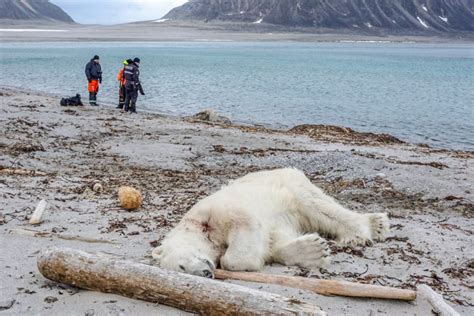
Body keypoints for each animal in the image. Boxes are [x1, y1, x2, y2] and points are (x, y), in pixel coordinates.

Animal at [154, 168, 390, 276]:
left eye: (182, 265)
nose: (206, 273)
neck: (199, 227)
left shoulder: (215, 211)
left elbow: (243, 228)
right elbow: (274, 240)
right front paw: (314, 250)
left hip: (290, 186)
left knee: (320, 207)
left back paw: (370, 228)